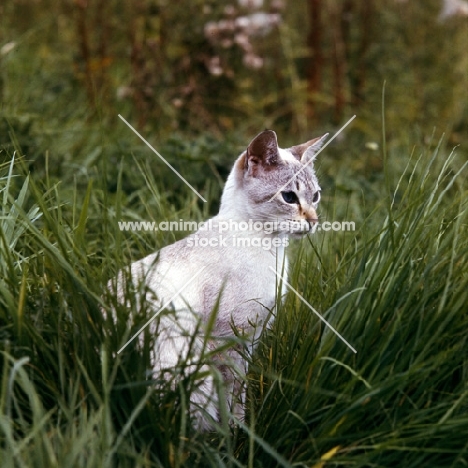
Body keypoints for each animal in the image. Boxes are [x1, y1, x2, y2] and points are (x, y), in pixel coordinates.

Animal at [111, 130, 328, 430]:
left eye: (315, 196)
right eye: (289, 197)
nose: (314, 221)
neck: (271, 248)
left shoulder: (253, 338)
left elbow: (241, 388)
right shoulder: (229, 338)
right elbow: (234, 394)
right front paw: (239, 432)